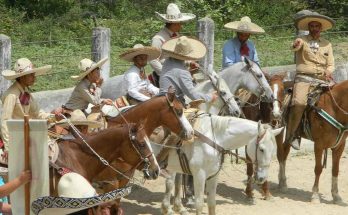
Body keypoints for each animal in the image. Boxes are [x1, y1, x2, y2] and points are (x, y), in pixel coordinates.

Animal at [154, 111, 284, 215]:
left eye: (274, 152)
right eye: (261, 149)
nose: (262, 178)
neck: (213, 138)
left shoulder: (213, 175)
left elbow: (212, 203)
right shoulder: (199, 175)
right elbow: (199, 204)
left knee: (172, 182)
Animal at [242, 73, 288, 201]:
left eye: (283, 91)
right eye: (268, 90)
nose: (276, 114)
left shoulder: (277, 134)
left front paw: (266, 192)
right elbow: (249, 164)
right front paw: (248, 191)